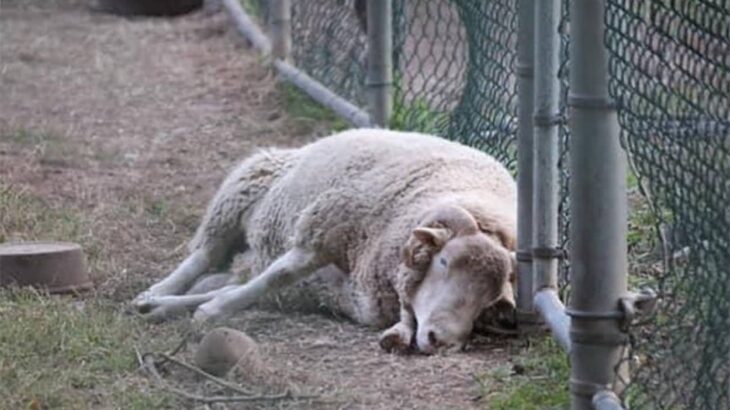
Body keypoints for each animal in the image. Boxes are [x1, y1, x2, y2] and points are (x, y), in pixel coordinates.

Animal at [132, 130, 516, 354]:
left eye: (490, 298)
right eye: (444, 262)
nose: (444, 342)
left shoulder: (336, 290)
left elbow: (257, 288)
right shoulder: (318, 234)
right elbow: (274, 278)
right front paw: (206, 312)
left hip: (253, 253)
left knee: (222, 274)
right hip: (239, 193)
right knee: (203, 255)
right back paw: (156, 290)